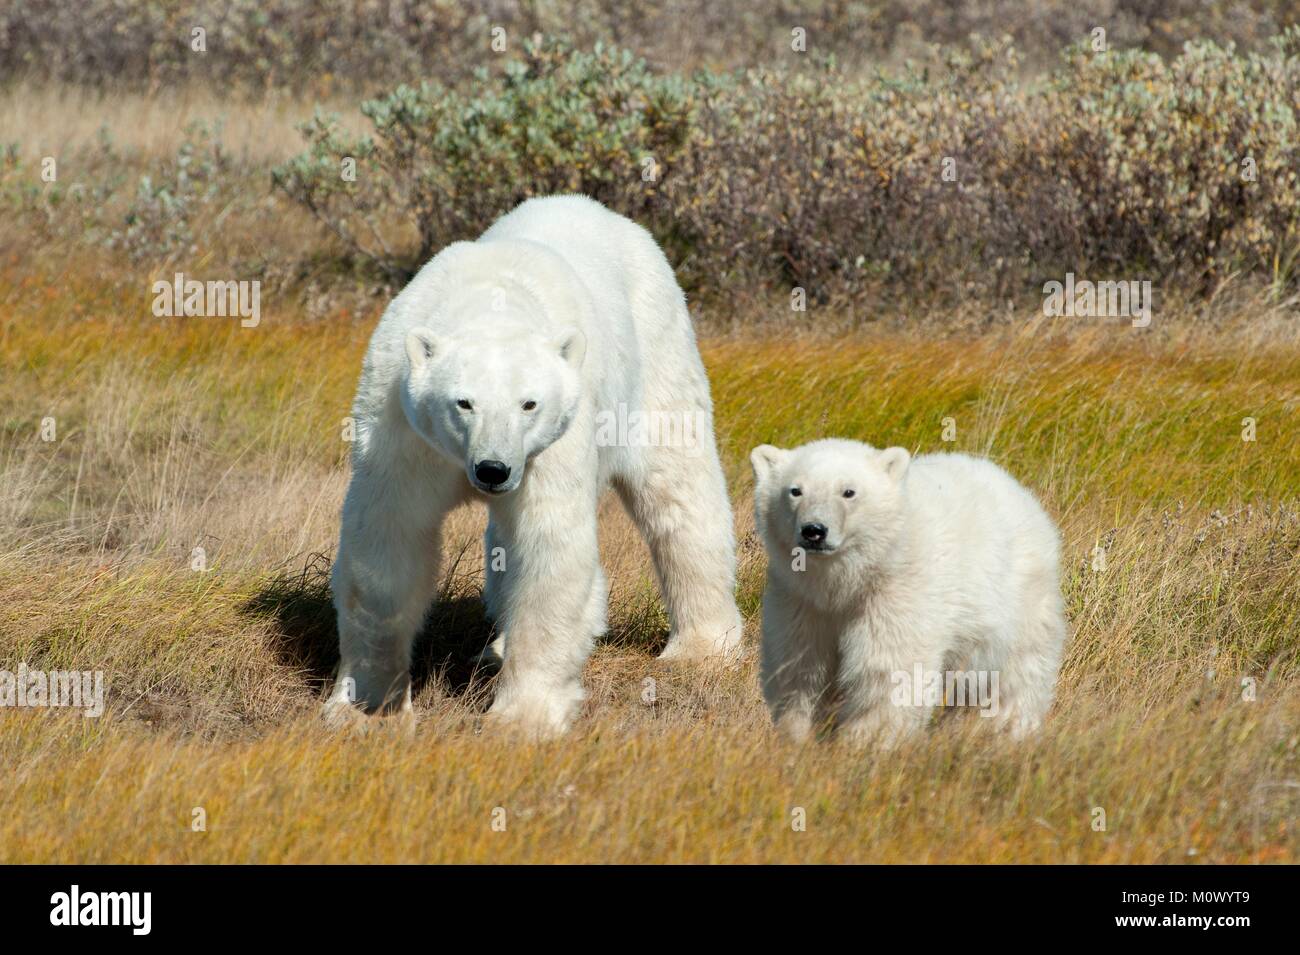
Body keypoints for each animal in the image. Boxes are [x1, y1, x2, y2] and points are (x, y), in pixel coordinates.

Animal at [325, 192, 743, 732]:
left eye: (529, 404)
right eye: (463, 403)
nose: (492, 470)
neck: (491, 304)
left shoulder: (554, 441)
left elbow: (549, 541)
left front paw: (523, 717)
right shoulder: (403, 430)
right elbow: (388, 539)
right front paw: (366, 705)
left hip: (657, 346)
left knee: (677, 487)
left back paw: (702, 648)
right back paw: (497, 645)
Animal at [754, 441, 1066, 748]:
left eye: (848, 491)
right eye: (795, 490)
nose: (814, 531)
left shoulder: (897, 592)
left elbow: (888, 670)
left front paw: (865, 742)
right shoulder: (800, 600)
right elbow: (799, 665)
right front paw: (798, 737)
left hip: (1018, 602)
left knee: (1014, 674)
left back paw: (1005, 730)